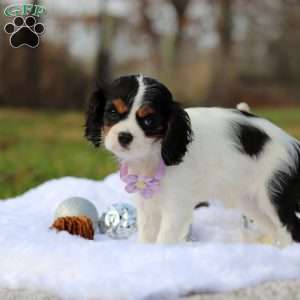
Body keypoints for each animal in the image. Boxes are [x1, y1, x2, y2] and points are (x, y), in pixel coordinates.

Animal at [85, 74, 300, 245]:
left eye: (149, 120)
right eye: (112, 112)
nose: (124, 136)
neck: (152, 154)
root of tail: (291, 142)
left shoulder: (176, 208)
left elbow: (164, 239)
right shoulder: (147, 206)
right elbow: (147, 235)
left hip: (272, 194)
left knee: (290, 229)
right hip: (251, 202)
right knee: (275, 229)